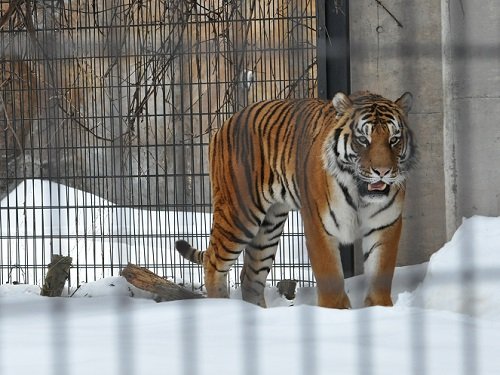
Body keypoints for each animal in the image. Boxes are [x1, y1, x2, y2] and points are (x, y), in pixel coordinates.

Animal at [176, 91, 414, 308]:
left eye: (394, 140)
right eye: (363, 140)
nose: (382, 172)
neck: (360, 194)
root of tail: (228, 121)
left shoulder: (385, 226)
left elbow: (380, 275)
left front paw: (380, 310)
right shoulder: (319, 225)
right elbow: (330, 280)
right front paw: (335, 311)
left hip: (269, 226)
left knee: (250, 277)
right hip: (239, 215)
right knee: (212, 262)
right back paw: (221, 308)